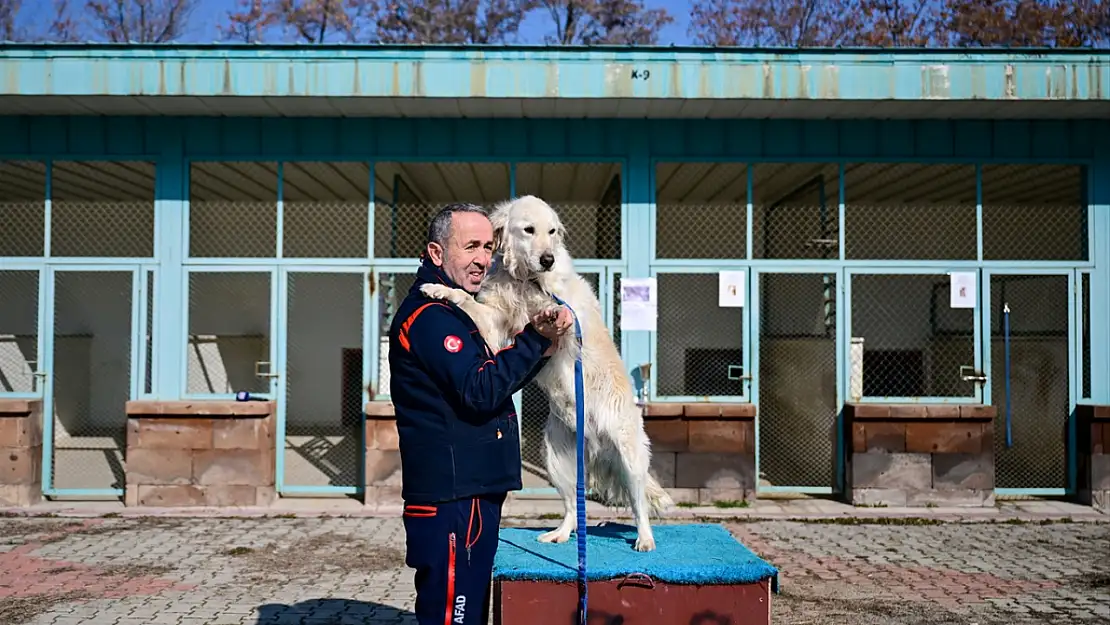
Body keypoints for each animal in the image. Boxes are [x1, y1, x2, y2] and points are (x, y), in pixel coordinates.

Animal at [417, 195, 670, 552]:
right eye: (528, 230)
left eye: (552, 232)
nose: (548, 259)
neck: (526, 280)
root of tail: (595, 444)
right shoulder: (494, 326)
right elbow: (465, 297)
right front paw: (438, 289)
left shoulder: (570, 323)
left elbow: (559, 311)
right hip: (555, 460)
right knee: (573, 508)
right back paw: (559, 534)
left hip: (630, 457)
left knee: (639, 504)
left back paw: (645, 539)